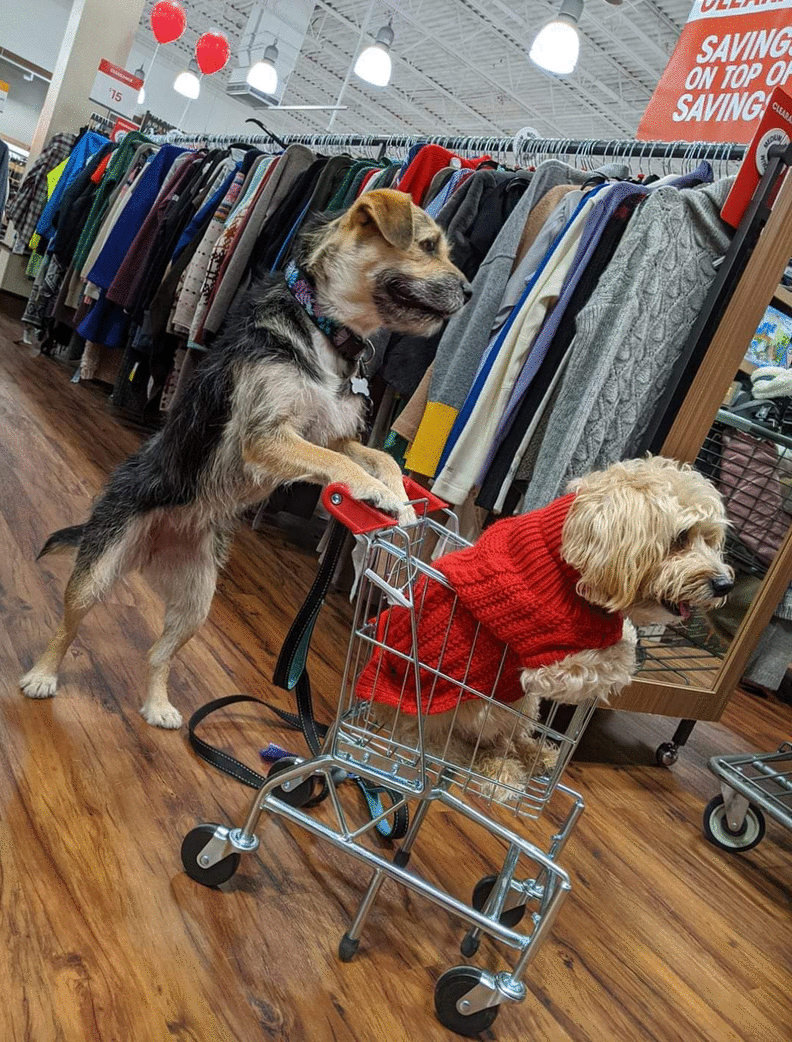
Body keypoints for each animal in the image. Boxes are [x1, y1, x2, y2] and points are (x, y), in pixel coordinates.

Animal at [21, 193, 473, 733]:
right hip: (100, 566)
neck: (322, 327)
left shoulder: (330, 434)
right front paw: (380, 494)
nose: (470, 291)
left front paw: (401, 496)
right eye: (426, 246)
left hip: (196, 600)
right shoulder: (268, 436)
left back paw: (158, 706)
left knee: (159, 654)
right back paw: (42, 676)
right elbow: (338, 464)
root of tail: (154, 545)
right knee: (67, 626)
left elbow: (377, 455)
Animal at [356, 460, 733, 791]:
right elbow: (622, 652)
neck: (568, 557)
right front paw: (623, 634)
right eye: (680, 537)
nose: (725, 585)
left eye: (710, 538)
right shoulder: (550, 666)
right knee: (452, 751)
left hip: (521, 705)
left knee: (509, 739)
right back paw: (500, 771)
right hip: (473, 711)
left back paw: (537, 755)